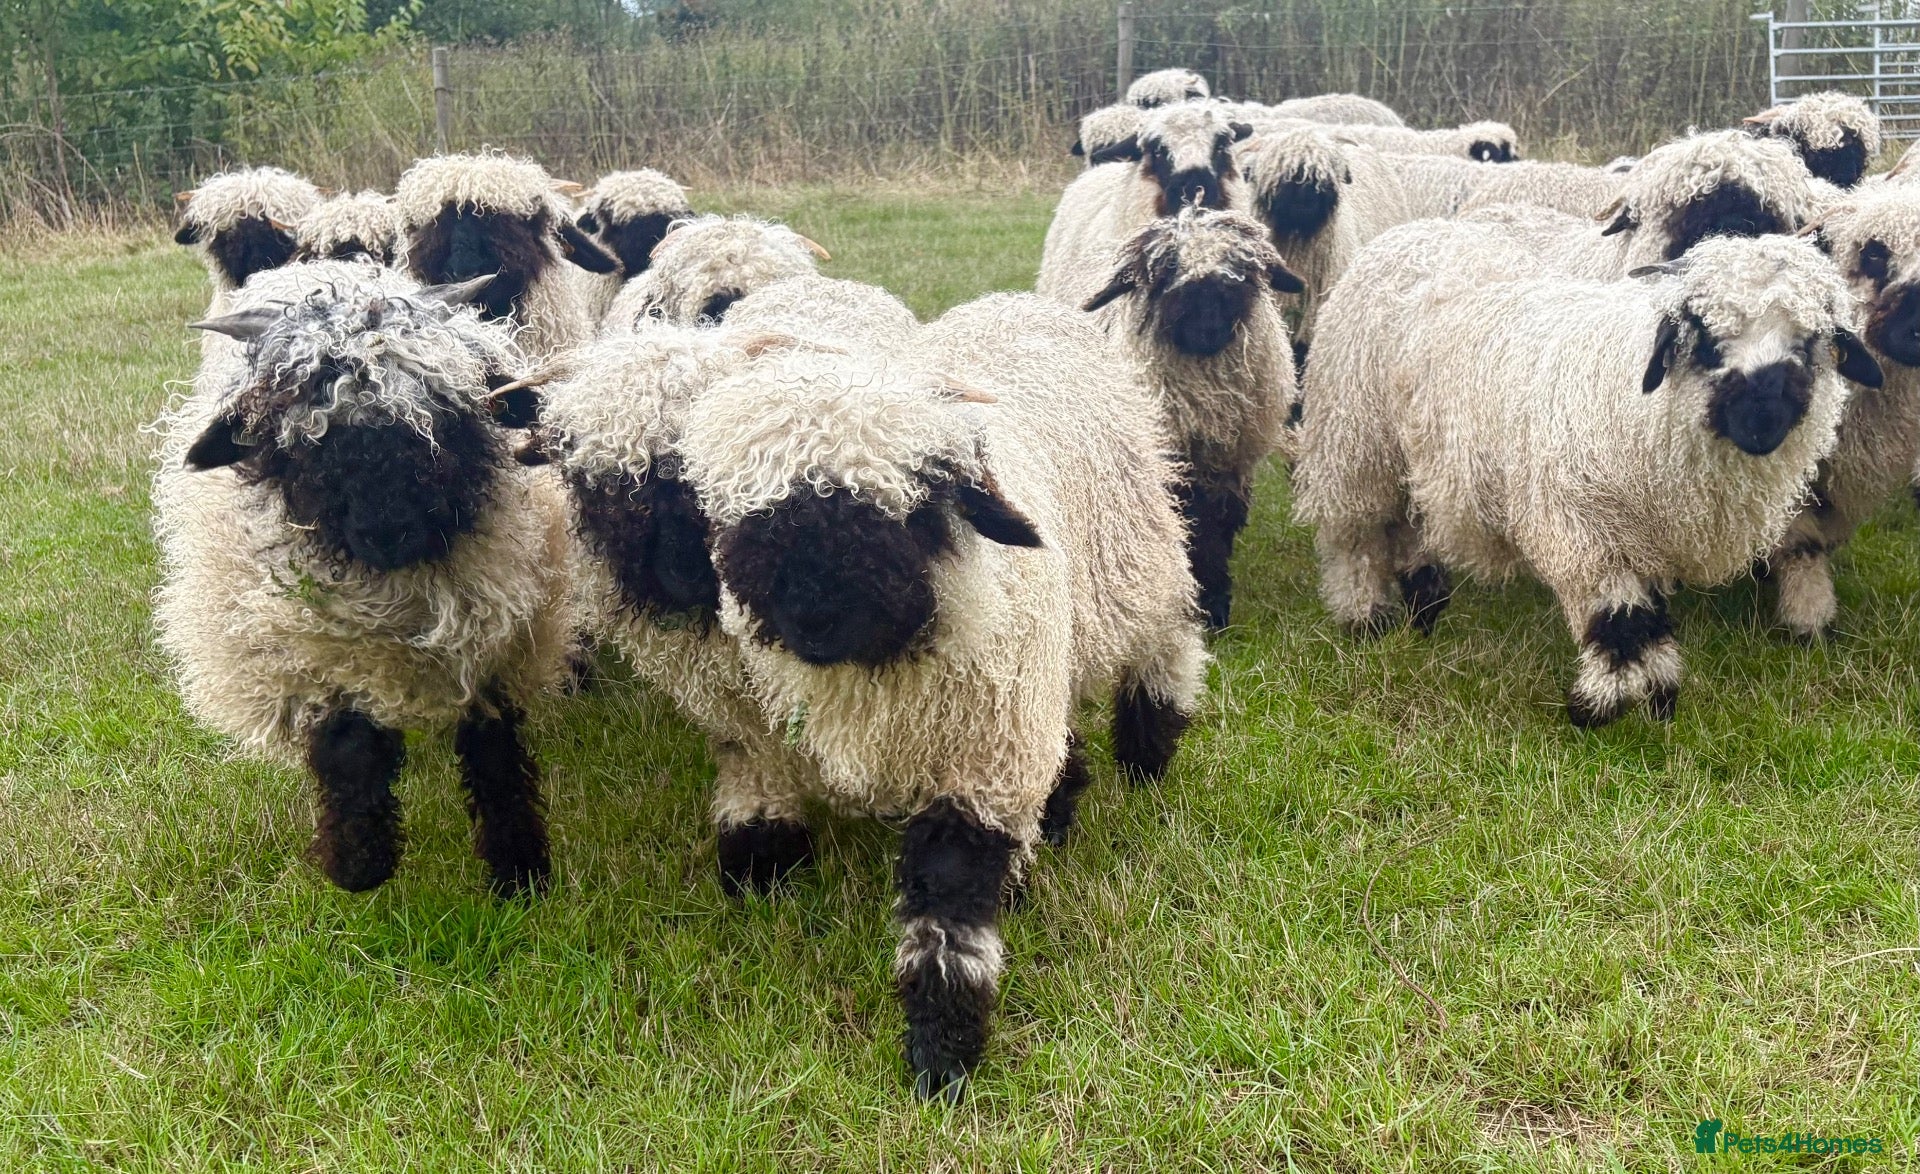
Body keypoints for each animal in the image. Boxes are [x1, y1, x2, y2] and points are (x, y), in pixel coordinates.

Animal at [151, 262, 576, 894]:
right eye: (306, 438)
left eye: (446, 418)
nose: (389, 530)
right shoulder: (313, 652)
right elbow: (348, 748)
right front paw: (359, 863)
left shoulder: (496, 640)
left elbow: (494, 749)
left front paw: (518, 870)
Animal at [677, 292, 1207, 1099]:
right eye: (753, 517)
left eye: (912, 510)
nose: (815, 618)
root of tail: (1021, 300)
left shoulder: (979, 762)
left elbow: (949, 917)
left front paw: (941, 1057)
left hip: (1136, 559)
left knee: (1169, 637)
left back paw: (1148, 749)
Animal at [1082, 208, 1302, 628]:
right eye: (1167, 269)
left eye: (1242, 270)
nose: (1208, 324)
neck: (1203, 405)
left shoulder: (1228, 464)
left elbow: (1217, 525)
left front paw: (1215, 604)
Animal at [1294, 234, 1872, 727]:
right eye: (1706, 338)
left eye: (1811, 343)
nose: (1761, 422)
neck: (1641, 408)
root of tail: (1414, 232)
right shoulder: (1579, 527)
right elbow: (1617, 615)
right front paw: (1600, 704)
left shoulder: (1645, 533)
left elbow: (1648, 613)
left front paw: (1659, 693)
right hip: (1355, 441)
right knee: (1355, 534)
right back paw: (1365, 615)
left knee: (1411, 522)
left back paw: (1425, 603)